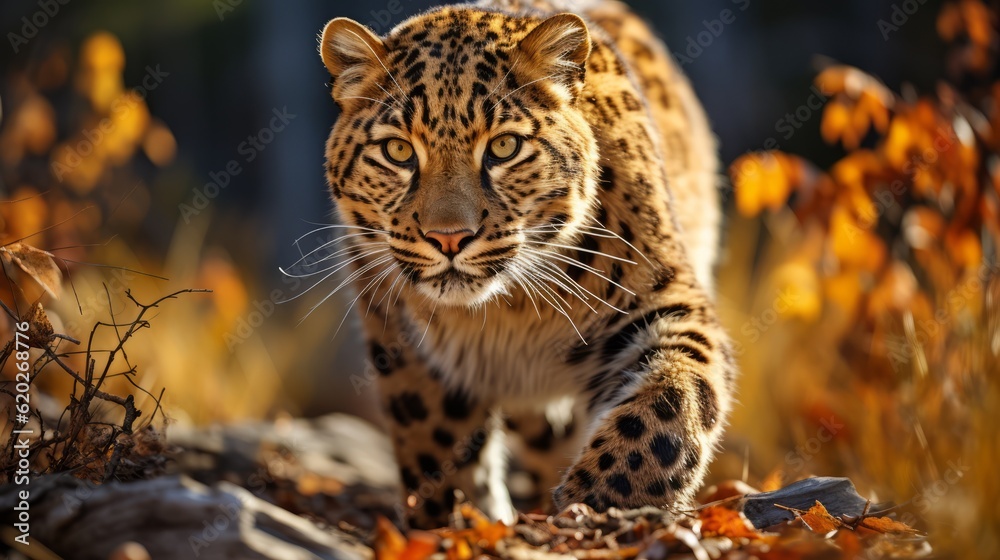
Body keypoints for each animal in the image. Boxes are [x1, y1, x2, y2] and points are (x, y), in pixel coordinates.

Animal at [317, 0, 735, 529]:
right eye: (397, 151)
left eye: (503, 147)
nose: (448, 238)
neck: (505, 312)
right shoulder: (400, 335)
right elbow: (433, 440)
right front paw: (450, 520)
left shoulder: (665, 298)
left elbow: (671, 397)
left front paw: (605, 496)